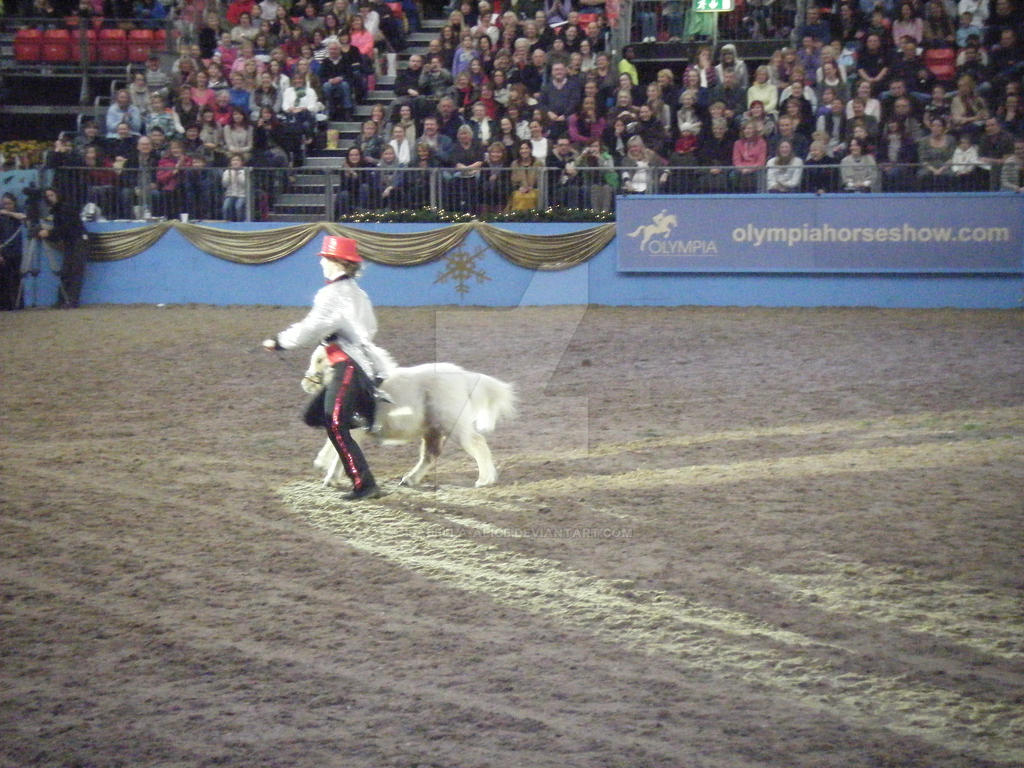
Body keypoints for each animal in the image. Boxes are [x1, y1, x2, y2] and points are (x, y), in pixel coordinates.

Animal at [301, 348, 512, 489]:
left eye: (320, 360)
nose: (306, 382)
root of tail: (464, 377)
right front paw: (326, 469)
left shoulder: (355, 429)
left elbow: (340, 452)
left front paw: (329, 475)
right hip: (433, 430)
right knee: (430, 455)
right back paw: (410, 479)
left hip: (453, 424)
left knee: (477, 443)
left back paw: (484, 480)